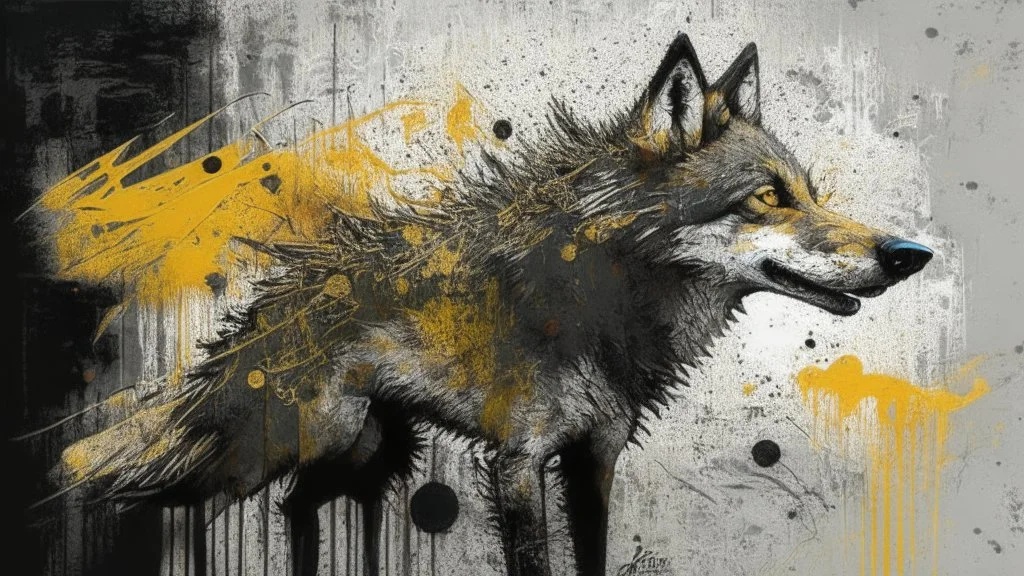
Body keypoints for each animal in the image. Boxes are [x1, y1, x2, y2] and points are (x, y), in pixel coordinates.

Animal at [52, 34, 933, 576]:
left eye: (809, 193)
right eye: (767, 197)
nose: (908, 256)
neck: (602, 294)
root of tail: (274, 301)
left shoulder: (596, 454)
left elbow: (593, 555)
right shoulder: (516, 458)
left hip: (373, 451)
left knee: (299, 506)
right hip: (293, 442)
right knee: (203, 501)